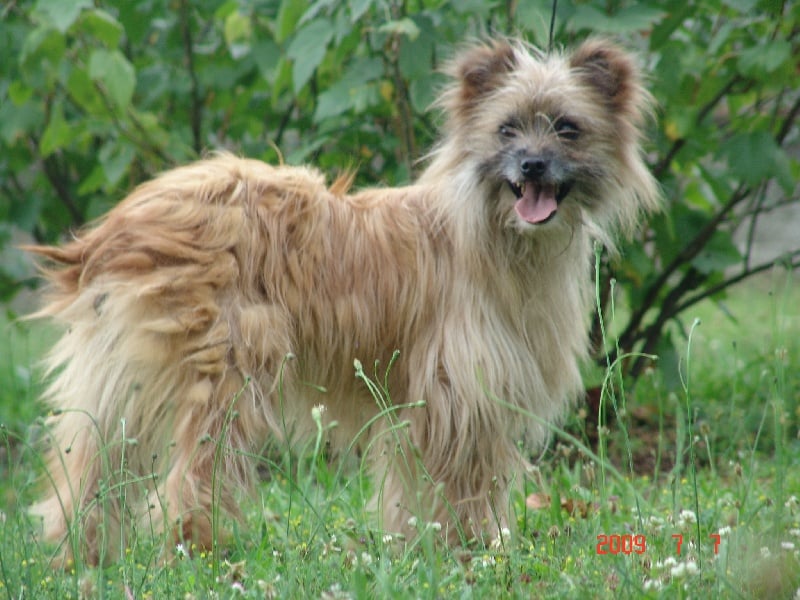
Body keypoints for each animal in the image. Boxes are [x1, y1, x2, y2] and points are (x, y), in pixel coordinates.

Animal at [28, 37, 660, 564]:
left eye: (567, 128)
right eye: (507, 129)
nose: (531, 163)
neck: (493, 233)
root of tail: (125, 224)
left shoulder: (415, 404)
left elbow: (412, 489)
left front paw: (418, 549)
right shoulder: (459, 395)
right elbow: (462, 485)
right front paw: (472, 551)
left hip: (121, 379)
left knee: (88, 470)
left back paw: (80, 557)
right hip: (229, 371)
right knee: (193, 476)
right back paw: (198, 553)